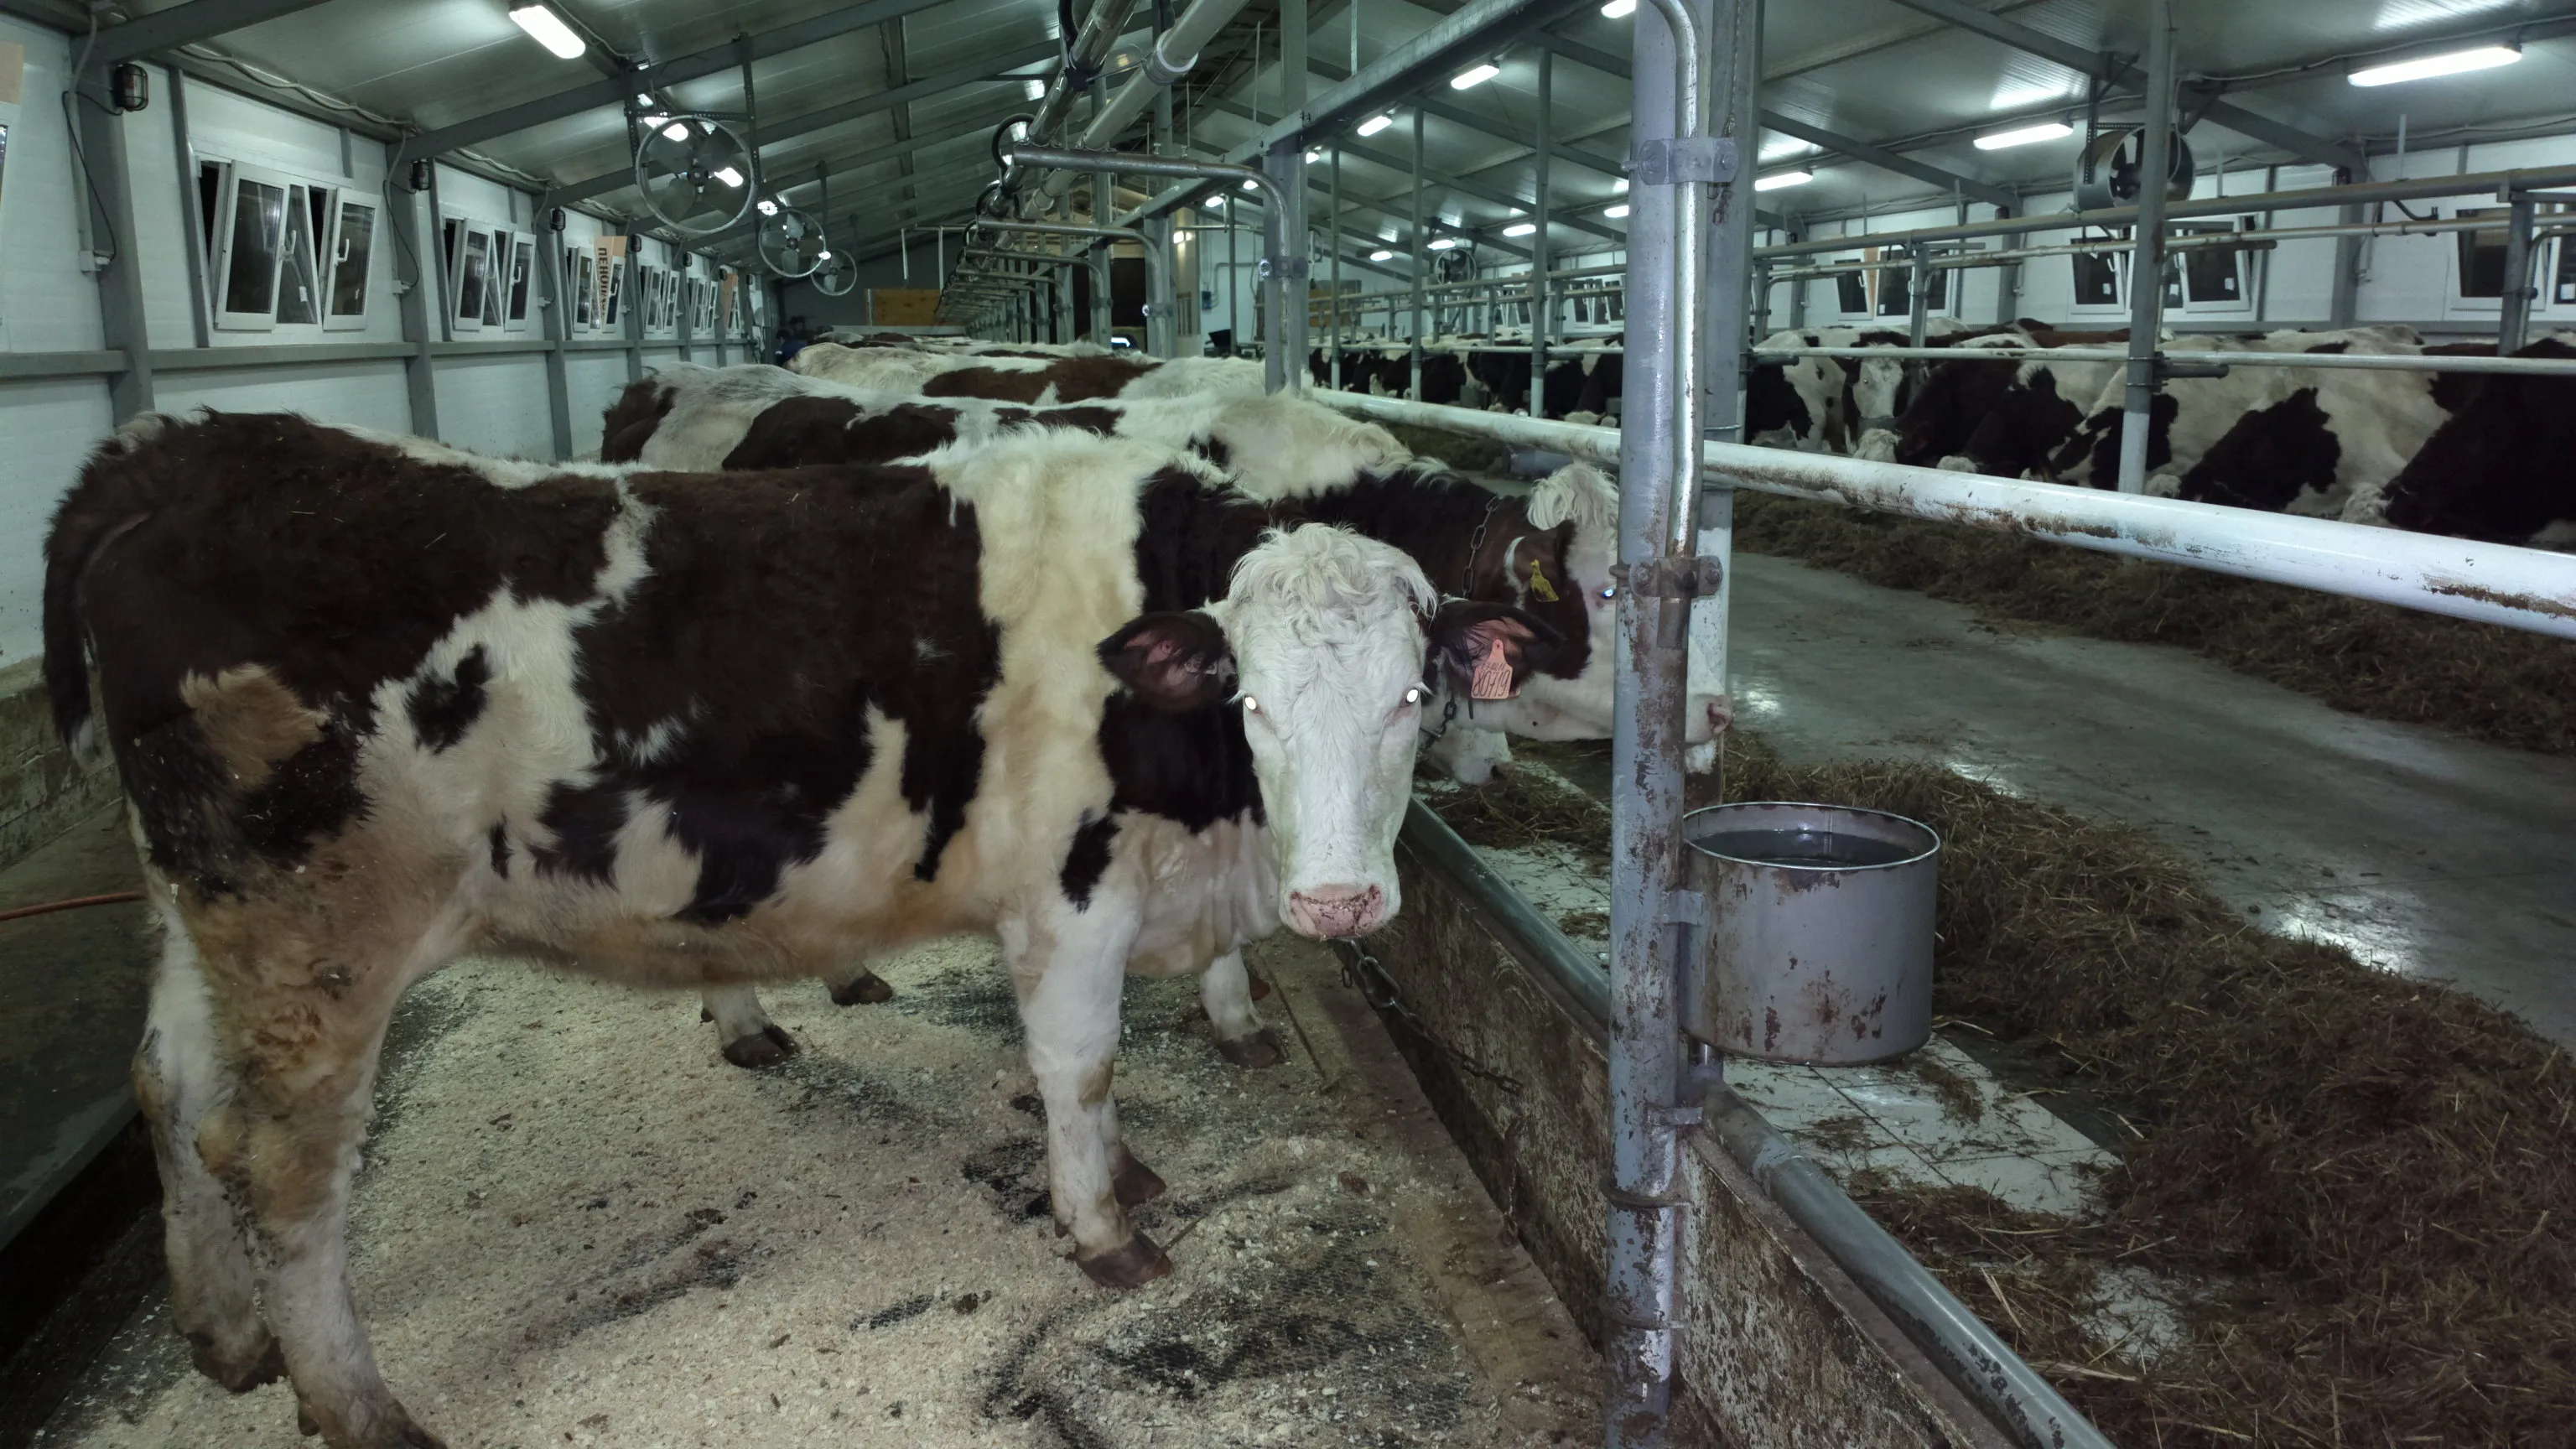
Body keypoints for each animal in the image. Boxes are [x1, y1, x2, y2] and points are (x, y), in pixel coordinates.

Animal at [47, 410, 1561, 1448]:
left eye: (1413, 694)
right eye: (1250, 699)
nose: (1340, 900)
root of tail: (180, 450)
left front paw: (1128, 1181)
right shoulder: (1070, 895)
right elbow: (1078, 1070)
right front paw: (1103, 1226)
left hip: (197, 916)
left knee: (171, 1093)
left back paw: (225, 1332)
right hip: (318, 937)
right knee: (285, 1172)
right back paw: (357, 1403)